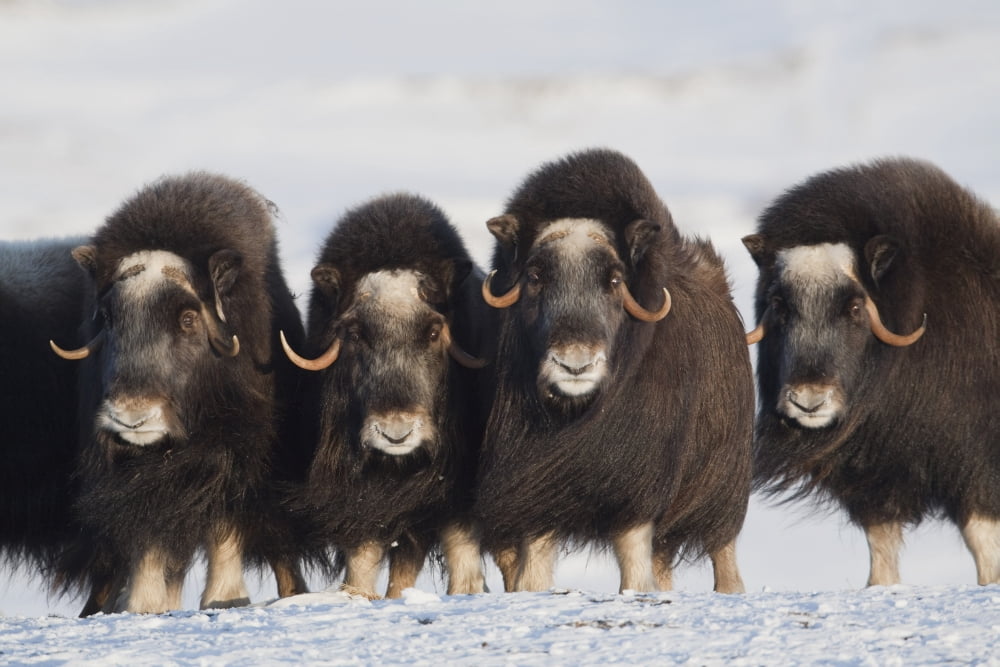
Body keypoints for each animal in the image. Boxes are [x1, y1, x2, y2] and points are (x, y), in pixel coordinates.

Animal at [50, 172, 310, 613]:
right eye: (108, 318)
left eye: (188, 318)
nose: (131, 417)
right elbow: (147, 534)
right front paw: (144, 606)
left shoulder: (235, 452)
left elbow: (224, 524)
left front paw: (226, 600)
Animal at [280, 193, 491, 599]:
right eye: (356, 334)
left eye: (432, 332)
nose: (396, 432)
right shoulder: (358, 502)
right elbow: (362, 563)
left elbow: (459, 557)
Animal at [475, 148, 754, 594]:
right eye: (535, 276)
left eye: (614, 279)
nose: (575, 363)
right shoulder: (534, 499)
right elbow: (533, 574)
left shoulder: (637, 499)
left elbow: (634, 571)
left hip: (722, 498)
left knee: (723, 558)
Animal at [743, 157, 1000, 586]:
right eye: (779, 304)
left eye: (854, 307)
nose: (808, 401)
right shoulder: (873, 479)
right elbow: (881, 550)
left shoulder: (975, 468)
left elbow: (984, 547)